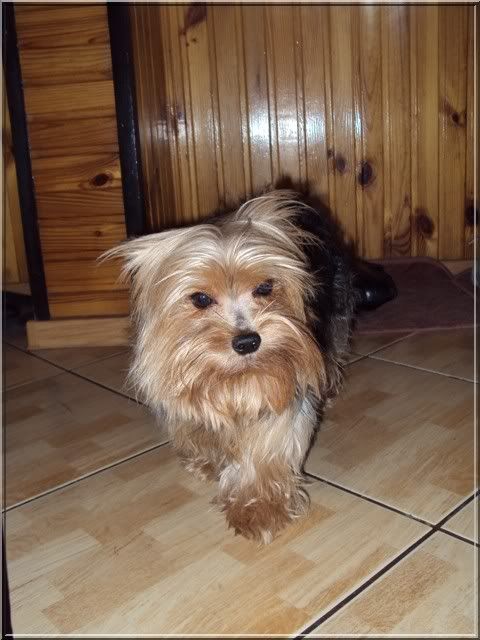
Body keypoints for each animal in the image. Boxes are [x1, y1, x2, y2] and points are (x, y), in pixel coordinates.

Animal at [106, 182, 357, 543]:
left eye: (265, 287)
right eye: (200, 299)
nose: (248, 341)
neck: (233, 379)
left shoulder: (284, 387)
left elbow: (269, 442)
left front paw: (259, 507)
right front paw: (208, 459)